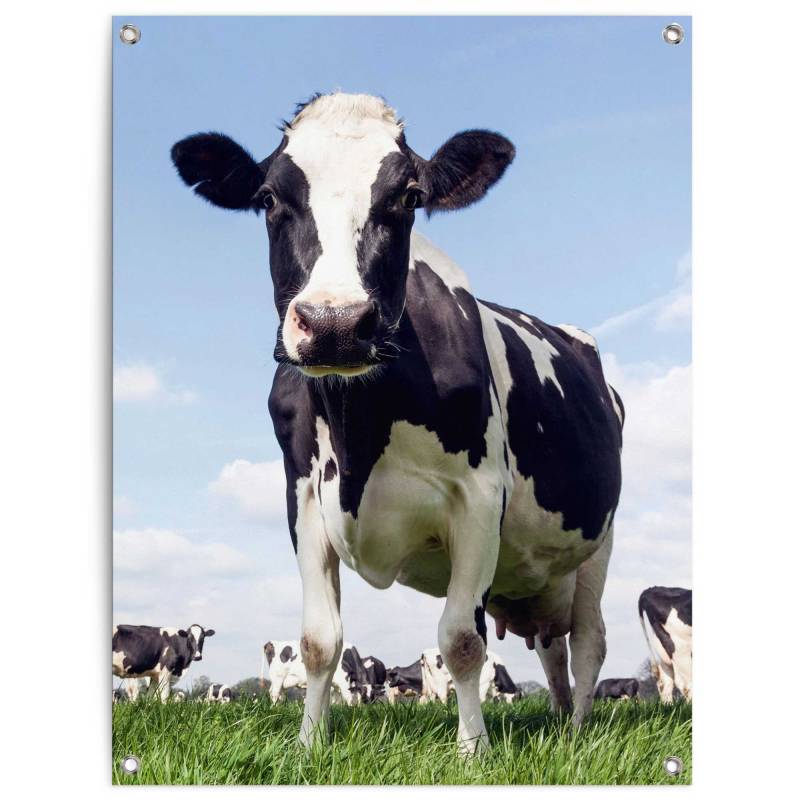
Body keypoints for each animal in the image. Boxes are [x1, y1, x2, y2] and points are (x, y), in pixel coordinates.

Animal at [172, 91, 623, 754]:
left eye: (409, 196)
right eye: (269, 197)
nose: (334, 323)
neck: (361, 429)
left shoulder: (480, 498)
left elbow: (462, 640)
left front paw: (473, 750)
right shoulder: (304, 498)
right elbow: (319, 640)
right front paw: (308, 746)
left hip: (598, 543)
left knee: (589, 641)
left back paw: (579, 731)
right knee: (552, 649)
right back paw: (563, 720)